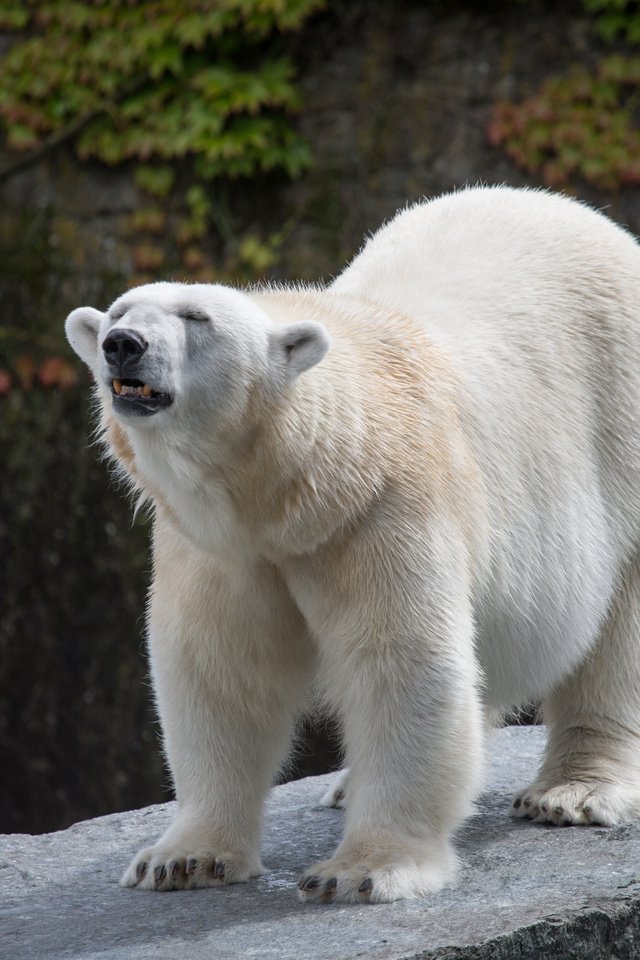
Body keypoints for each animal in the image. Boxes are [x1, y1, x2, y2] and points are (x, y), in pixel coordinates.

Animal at [66, 186, 640, 900]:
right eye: (117, 312)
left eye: (197, 317)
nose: (122, 344)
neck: (292, 491)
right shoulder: (217, 545)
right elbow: (219, 670)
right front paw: (182, 859)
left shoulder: (379, 512)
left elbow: (400, 662)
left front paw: (363, 870)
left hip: (619, 433)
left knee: (615, 630)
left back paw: (573, 792)